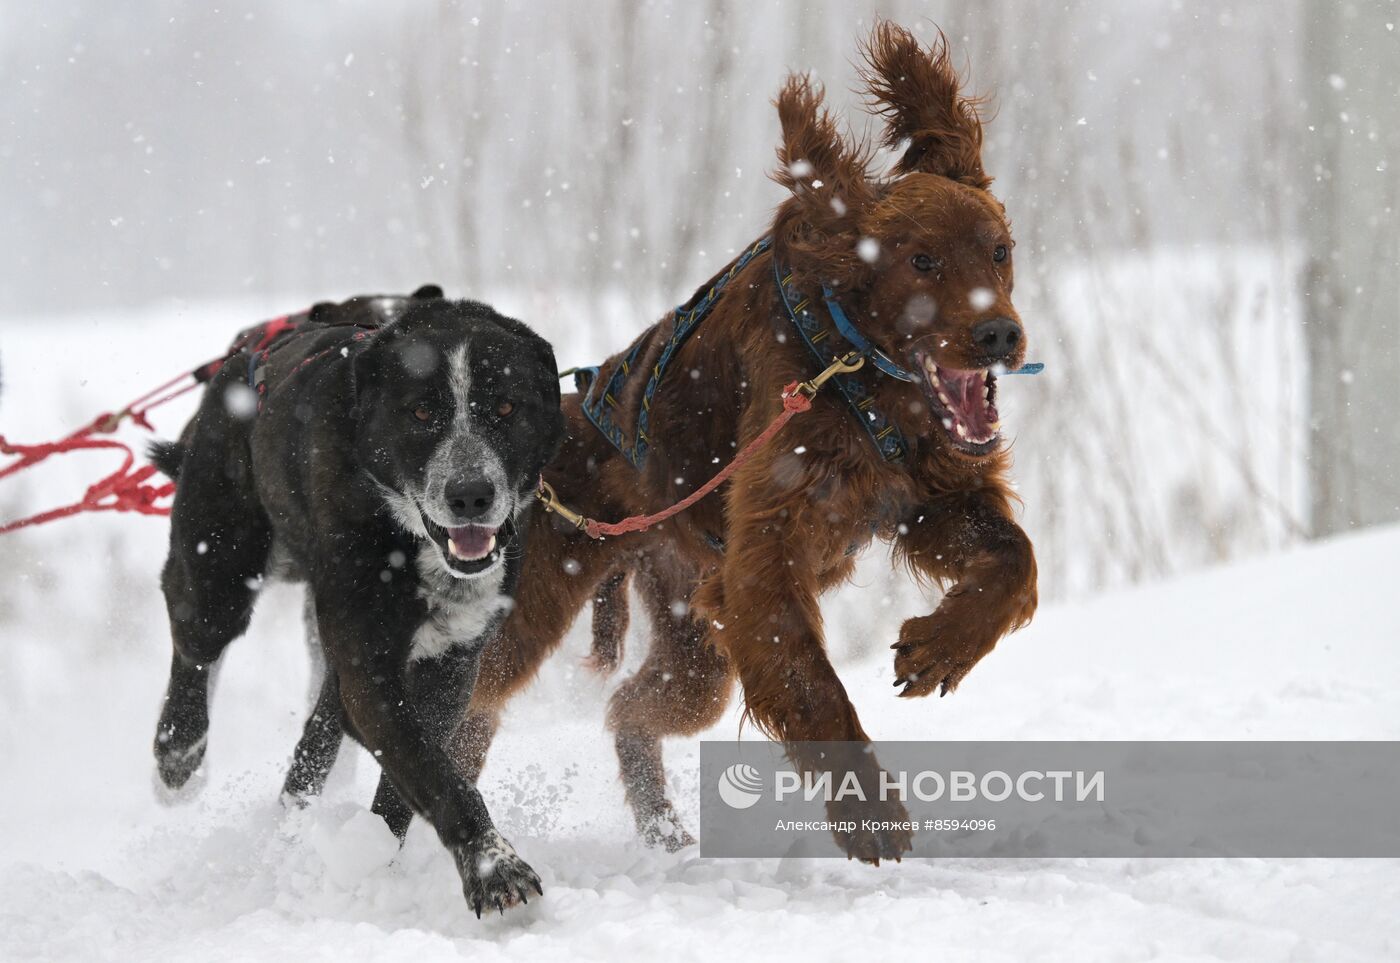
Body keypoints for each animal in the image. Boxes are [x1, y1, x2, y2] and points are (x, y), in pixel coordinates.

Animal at [151, 288, 562, 918]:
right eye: (420, 414)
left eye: (507, 408)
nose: (470, 494)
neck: (407, 538)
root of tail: (242, 359)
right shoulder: (369, 669)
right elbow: (433, 772)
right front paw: (494, 868)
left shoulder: (449, 663)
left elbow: (409, 777)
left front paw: (371, 856)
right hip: (221, 567)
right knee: (195, 642)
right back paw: (178, 752)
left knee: (316, 734)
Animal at [464, 22, 1036, 862]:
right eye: (922, 260)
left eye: (999, 249)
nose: (999, 334)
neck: (852, 366)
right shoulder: (767, 553)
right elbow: (812, 685)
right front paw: (870, 812)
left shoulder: (925, 496)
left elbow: (1015, 561)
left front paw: (939, 648)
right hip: (534, 601)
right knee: (460, 705)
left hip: (691, 641)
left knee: (629, 707)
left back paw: (661, 826)